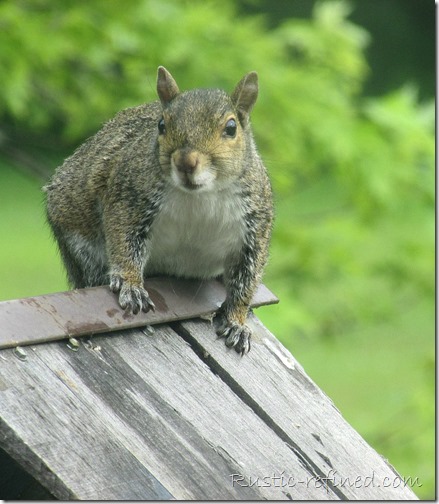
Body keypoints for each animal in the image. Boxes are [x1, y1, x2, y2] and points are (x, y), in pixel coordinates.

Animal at [44, 67, 274, 355]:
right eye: (161, 125)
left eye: (231, 128)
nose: (186, 161)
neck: (200, 195)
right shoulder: (128, 199)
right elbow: (123, 241)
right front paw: (131, 284)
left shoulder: (256, 225)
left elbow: (247, 277)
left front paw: (237, 322)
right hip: (80, 246)